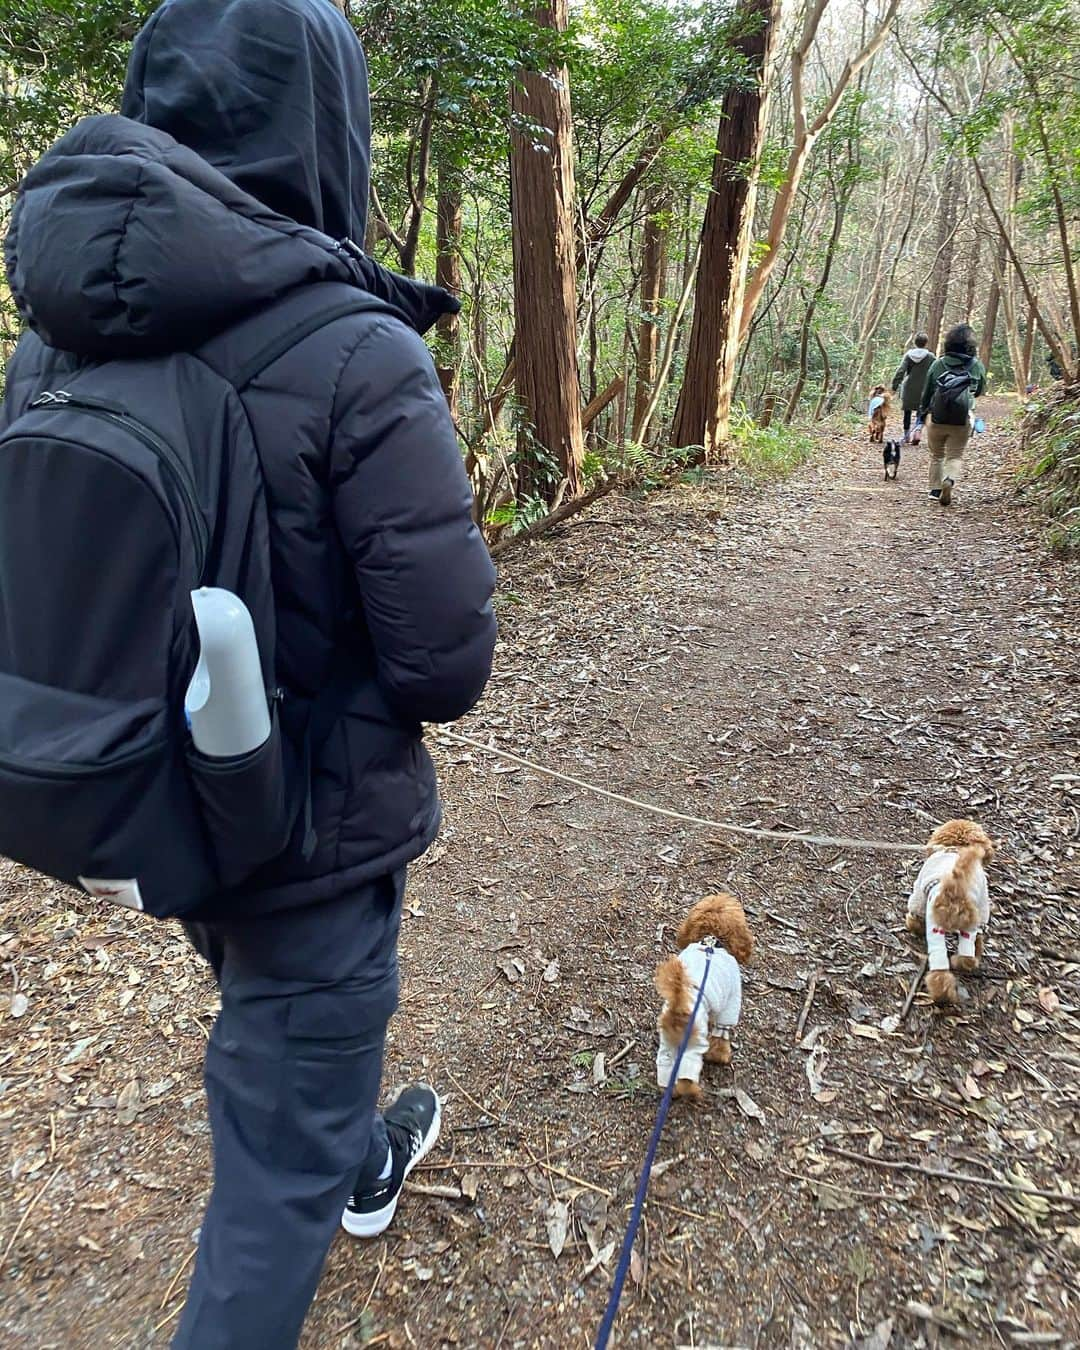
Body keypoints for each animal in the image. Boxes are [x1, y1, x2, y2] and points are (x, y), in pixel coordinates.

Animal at [653, 896, 756, 1096]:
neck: (712, 941)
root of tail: (679, 1006)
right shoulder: (731, 1002)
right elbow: (721, 1035)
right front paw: (720, 1056)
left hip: (668, 1046)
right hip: (694, 1042)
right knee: (686, 1076)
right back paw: (694, 1093)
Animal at [901, 815, 993, 999]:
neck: (957, 848)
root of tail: (955, 891)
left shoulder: (919, 895)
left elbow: (915, 917)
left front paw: (912, 925)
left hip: (935, 924)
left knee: (940, 970)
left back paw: (941, 995)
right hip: (972, 921)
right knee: (968, 954)